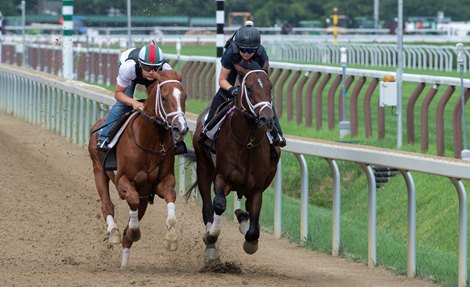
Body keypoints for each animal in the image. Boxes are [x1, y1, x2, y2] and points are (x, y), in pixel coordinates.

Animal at [88, 70, 187, 270]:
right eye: (164, 98)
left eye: (185, 96)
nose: (181, 127)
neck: (150, 140)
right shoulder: (123, 181)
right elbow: (130, 199)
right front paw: (133, 231)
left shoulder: (161, 183)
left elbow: (171, 196)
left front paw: (171, 237)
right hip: (98, 170)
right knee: (107, 205)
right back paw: (114, 232)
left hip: (143, 196)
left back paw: (125, 263)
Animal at [186, 63, 280, 260]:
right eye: (249, 88)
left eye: (270, 87)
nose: (267, 119)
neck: (248, 143)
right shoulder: (222, 178)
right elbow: (219, 205)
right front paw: (211, 235)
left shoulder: (257, 188)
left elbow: (253, 229)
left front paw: (250, 239)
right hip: (204, 168)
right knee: (208, 207)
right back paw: (211, 242)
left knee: (246, 209)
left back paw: (242, 218)